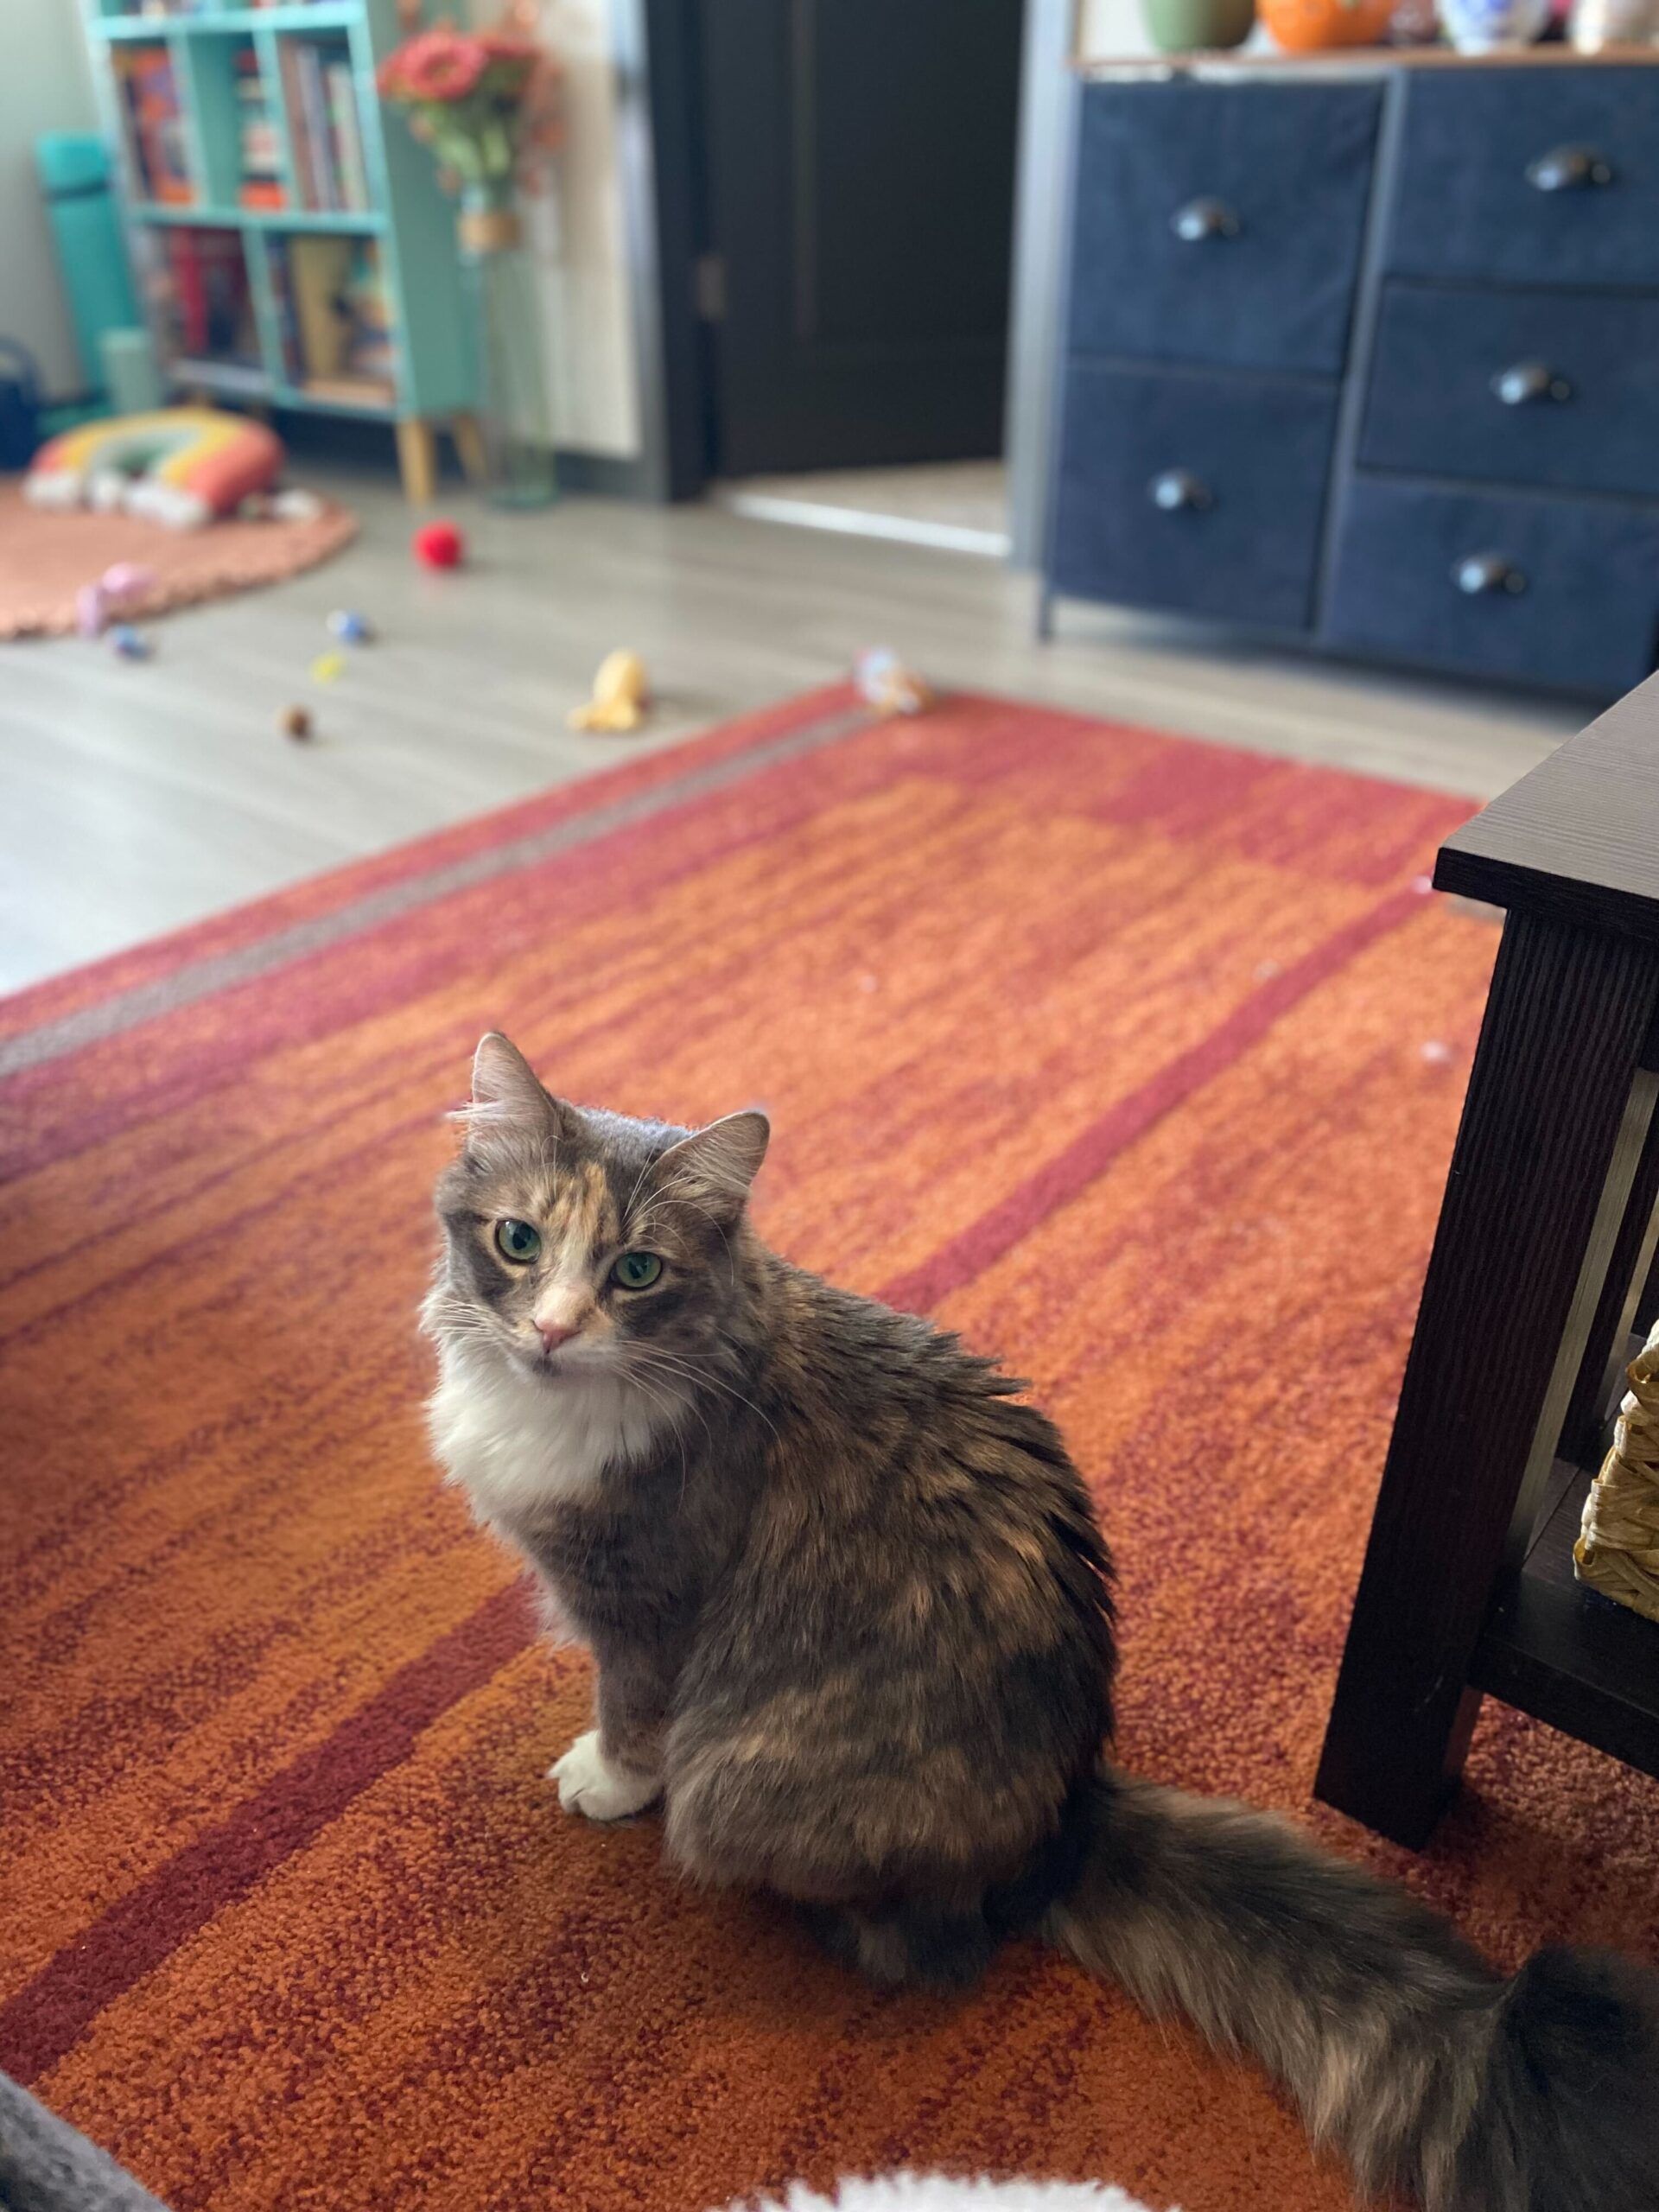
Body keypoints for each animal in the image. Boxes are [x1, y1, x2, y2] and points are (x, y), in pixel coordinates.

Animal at [422, 1035, 1654, 2212]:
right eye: (519, 1242)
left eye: (636, 1271)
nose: (551, 1332)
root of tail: (1064, 1818)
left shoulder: (648, 1605)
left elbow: (628, 1713)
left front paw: (604, 1780)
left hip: (743, 1781)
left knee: (923, 1943)